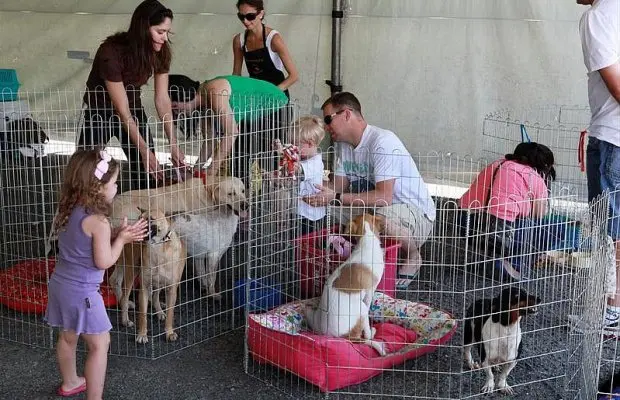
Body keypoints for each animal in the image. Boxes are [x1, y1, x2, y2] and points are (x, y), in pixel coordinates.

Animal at [117, 208, 186, 342]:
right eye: (139, 218)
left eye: (151, 219)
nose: (133, 228)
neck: (158, 248)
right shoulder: (143, 288)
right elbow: (142, 315)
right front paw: (142, 335)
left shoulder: (171, 289)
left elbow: (170, 313)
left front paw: (169, 332)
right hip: (131, 272)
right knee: (124, 298)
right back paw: (125, 320)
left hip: (157, 282)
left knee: (155, 296)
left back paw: (159, 312)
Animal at [306, 217, 388, 354]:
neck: (366, 238)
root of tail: (344, 338)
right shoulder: (370, 290)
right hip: (361, 309)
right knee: (366, 336)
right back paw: (372, 332)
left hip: (313, 315)